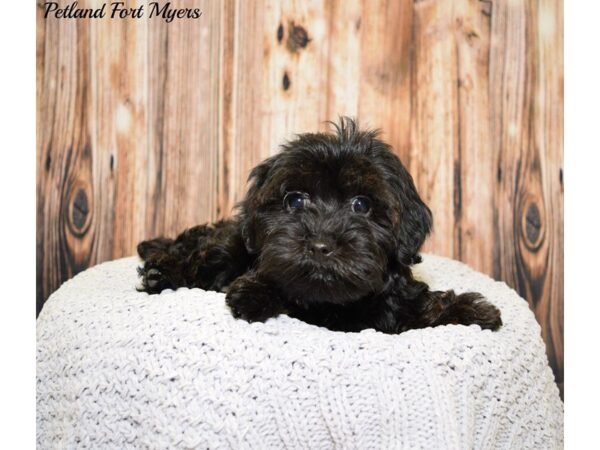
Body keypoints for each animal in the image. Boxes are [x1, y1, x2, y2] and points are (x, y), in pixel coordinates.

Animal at [137, 118, 502, 332]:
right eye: (295, 201)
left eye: (361, 205)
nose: (320, 246)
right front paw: (253, 294)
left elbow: (420, 307)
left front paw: (471, 312)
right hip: (230, 243)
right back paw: (162, 271)